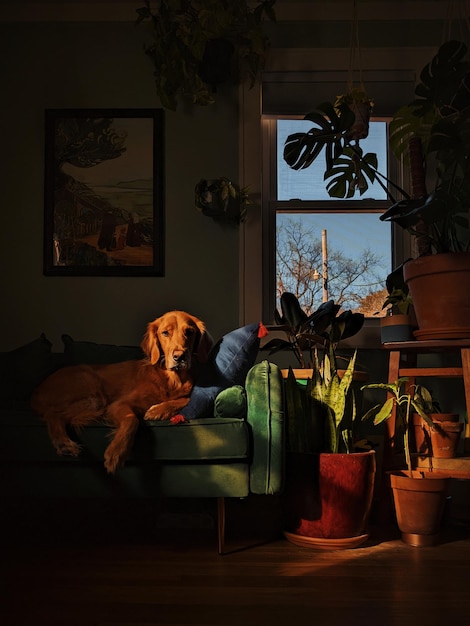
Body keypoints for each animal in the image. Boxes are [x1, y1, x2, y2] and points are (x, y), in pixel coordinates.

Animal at [30, 312, 211, 472]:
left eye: (189, 332)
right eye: (165, 333)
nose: (179, 357)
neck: (172, 380)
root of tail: (35, 392)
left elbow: (187, 399)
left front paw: (158, 410)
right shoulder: (119, 404)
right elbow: (132, 419)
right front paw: (116, 453)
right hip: (94, 393)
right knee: (52, 414)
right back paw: (64, 444)